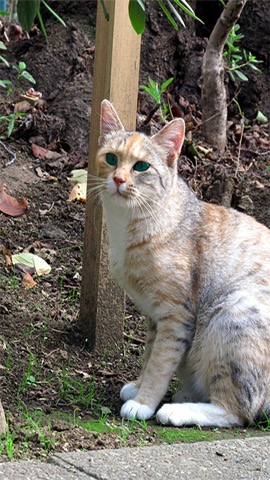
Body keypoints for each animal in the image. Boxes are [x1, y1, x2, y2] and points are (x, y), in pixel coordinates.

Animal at [93, 98, 270, 428]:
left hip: (233, 311)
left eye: (141, 166)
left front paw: (144, 402)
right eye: (111, 158)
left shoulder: (175, 316)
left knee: (240, 410)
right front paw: (139, 387)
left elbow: (160, 363)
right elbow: (149, 355)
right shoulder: (154, 316)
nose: (119, 179)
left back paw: (178, 410)